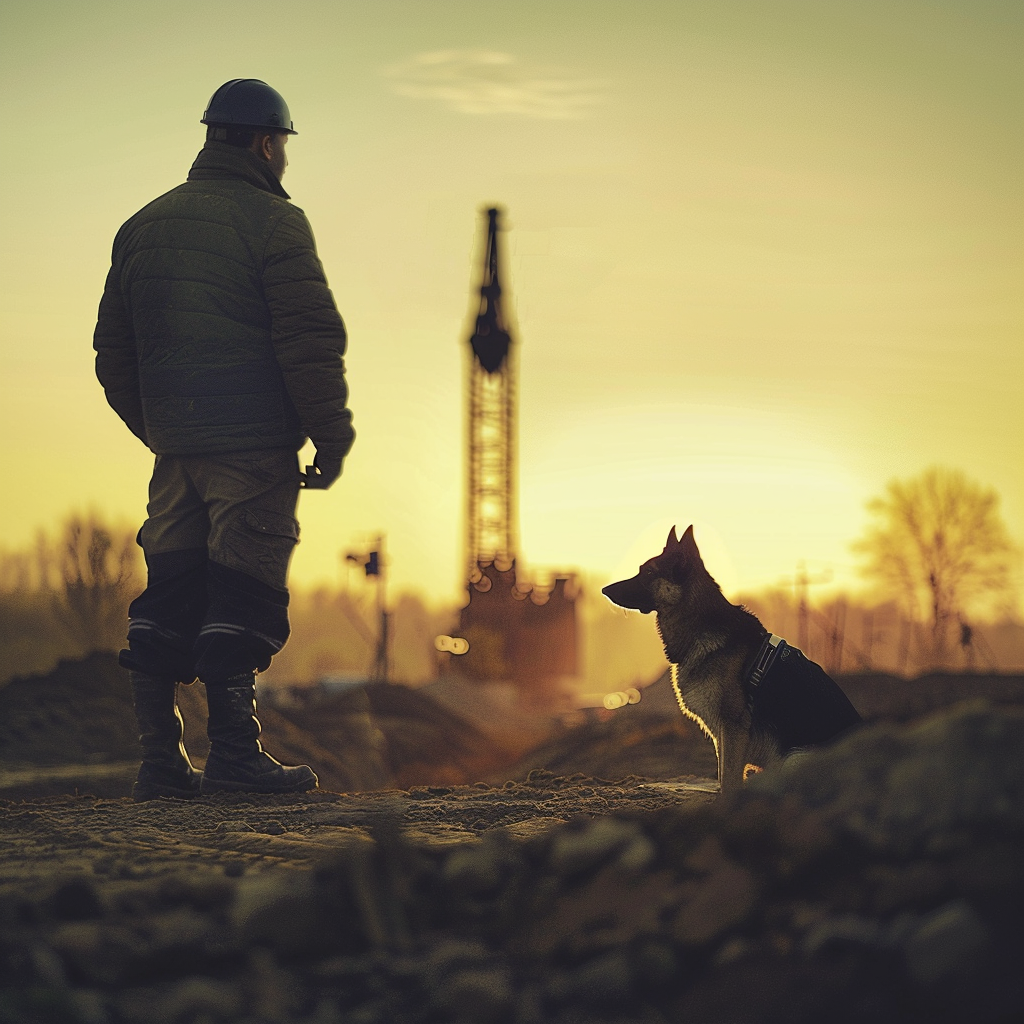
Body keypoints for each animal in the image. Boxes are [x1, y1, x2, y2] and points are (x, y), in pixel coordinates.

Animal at [602, 524, 860, 794]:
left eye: (649, 572)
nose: (604, 590)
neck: (702, 626)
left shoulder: (732, 730)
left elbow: (729, 781)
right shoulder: (723, 736)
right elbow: (724, 775)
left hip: (793, 758)